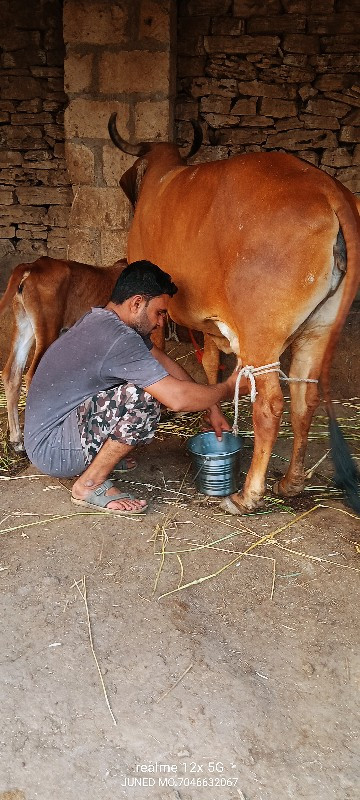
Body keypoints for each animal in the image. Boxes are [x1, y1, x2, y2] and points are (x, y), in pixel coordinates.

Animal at [0, 260, 127, 454]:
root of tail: (33, 265)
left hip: (25, 325)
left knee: (11, 374)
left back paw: (17, 440)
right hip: (48, 328)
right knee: (32, 376)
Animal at [108, 111, 360, 512]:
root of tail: (329, 188)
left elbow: (160, 350)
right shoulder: (212, 324)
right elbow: (211, 363)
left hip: (262, 334)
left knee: (270, 405)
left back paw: (247, 495)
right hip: (318, 330)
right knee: (304, 399)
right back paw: (291, 482)